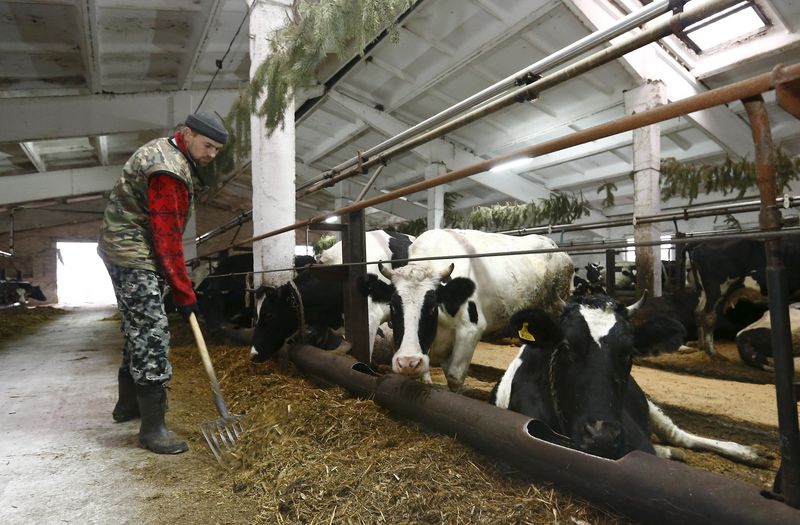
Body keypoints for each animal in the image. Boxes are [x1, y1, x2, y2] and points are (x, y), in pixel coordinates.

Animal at [494, 294, 768, 466]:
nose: (602, 435)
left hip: (649, 404)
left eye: (629, 352)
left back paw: (747, 452)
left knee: (680, 435)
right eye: (565, 346)